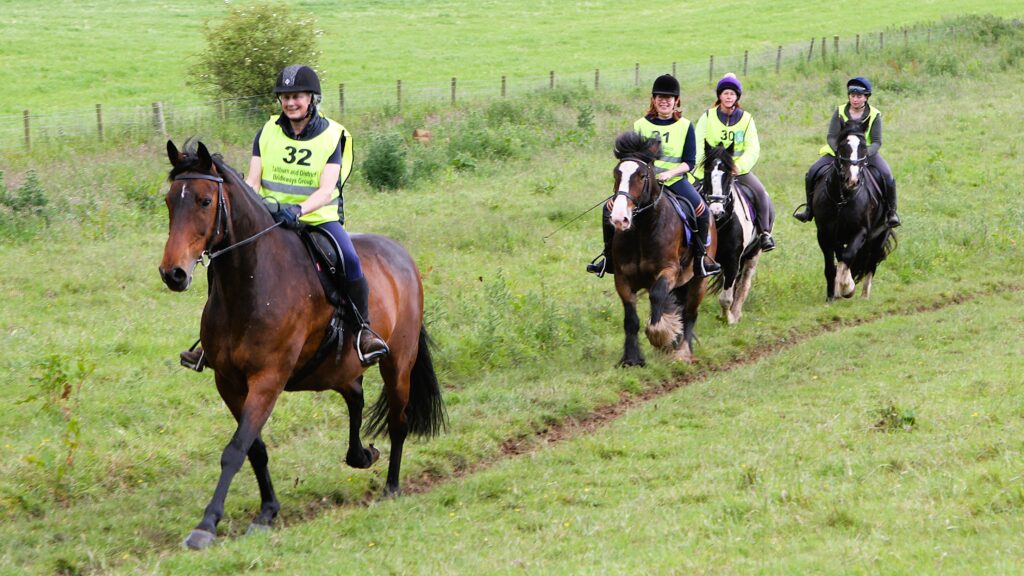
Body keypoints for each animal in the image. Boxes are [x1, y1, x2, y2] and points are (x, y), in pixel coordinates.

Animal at [157, 139, 446, 545]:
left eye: (204, 201)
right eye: (170, 201)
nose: (173, 274)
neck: (251, 284)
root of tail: (402, 255)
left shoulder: (268, 378)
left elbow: (235, 449)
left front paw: (206, 524)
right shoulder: (228, 382)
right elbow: (254, 449)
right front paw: (267, 511)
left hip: (398, 362)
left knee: (398, 421)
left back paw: (391, 487)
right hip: (336, 367)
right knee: (355, 396)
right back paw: (361, 455)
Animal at [606, 132, 712, 362]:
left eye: (642, 176)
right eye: (616, 173)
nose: (619, 218)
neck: (643, 230)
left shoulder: (669, 270)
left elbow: (657, 296)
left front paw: (660, 334)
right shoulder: (622, 278)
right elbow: (631, 319)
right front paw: (631, 359)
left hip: (699, 279)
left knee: (690, 313)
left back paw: (683, 352)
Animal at [696, 141, 761, 325]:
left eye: (727, 174)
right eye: (707, 172)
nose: (716, 211)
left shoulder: (733, 260)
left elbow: (725, 298)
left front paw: (729, 319)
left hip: (753, 255)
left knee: (743, 284)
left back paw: (736, 313)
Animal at [806, 127, 897, 301]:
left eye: (863, 148)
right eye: (842, 148)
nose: (852, 180)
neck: (842, 200)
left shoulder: (860, 232)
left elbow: (848, 257)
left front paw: (847, 288)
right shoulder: (825, 234)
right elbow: (831, 266)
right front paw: (831, 296)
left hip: (881, 235)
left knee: (871, 262)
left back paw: (864, 296)